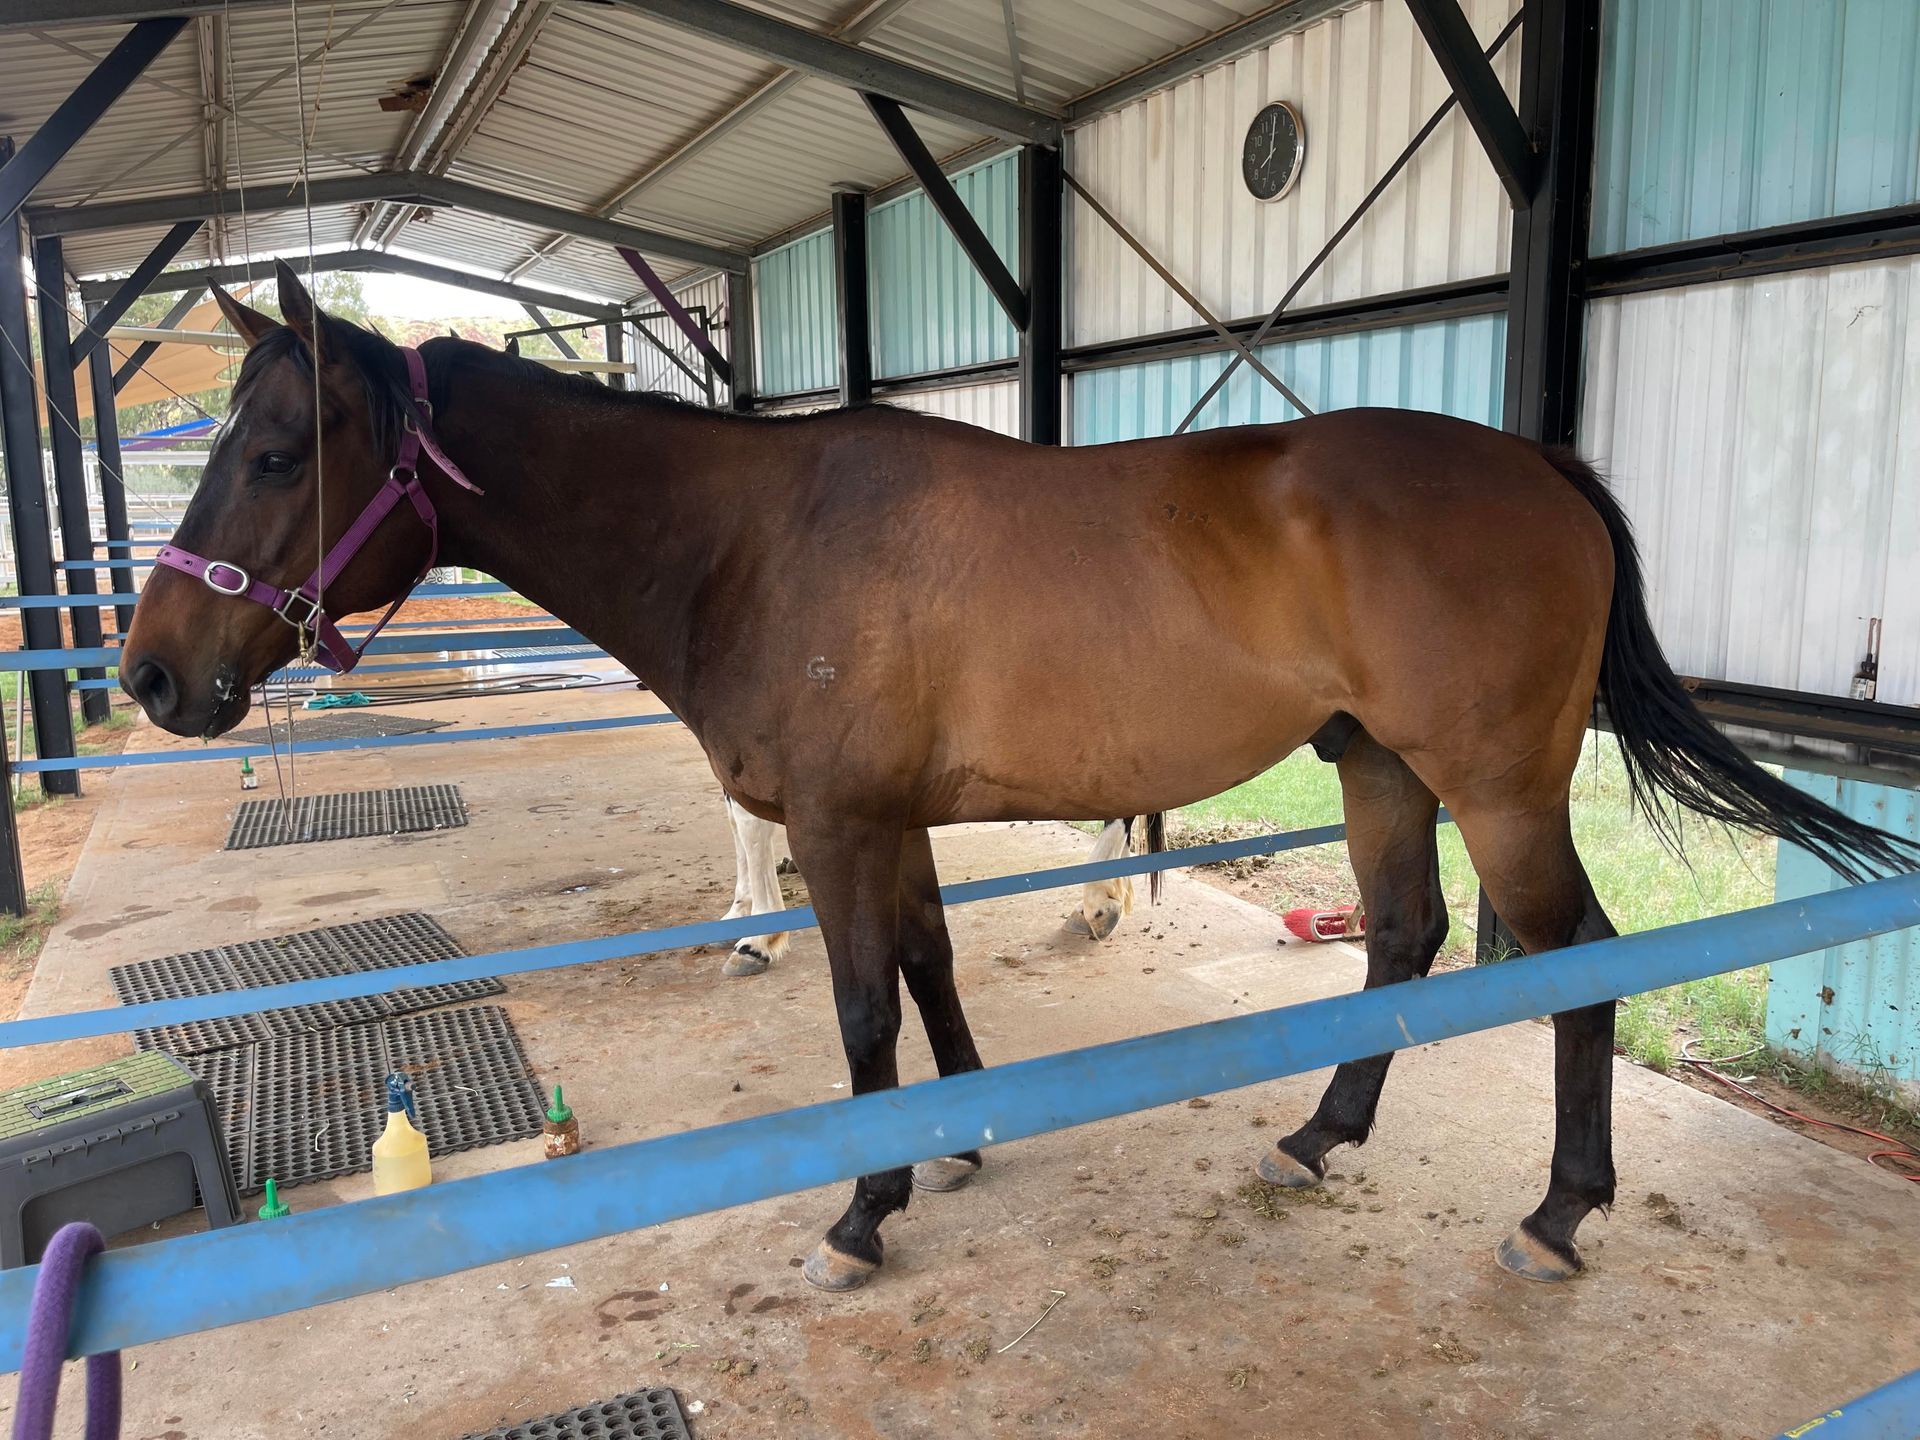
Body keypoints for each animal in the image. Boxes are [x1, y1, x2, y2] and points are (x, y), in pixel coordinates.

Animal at [120, 264, 1917, 1293]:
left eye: (273, 452)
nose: (150, 677)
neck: (750, 540)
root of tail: (1534, 462)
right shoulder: (890, 825)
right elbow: (928, 968)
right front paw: (967, 1135)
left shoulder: (839, 826)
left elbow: (860, 1011)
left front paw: (864, 1210)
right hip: (1381, 772)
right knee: (1404, 941)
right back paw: (1317, 1136)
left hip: (1502, 791)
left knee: (1580, 965)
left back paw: (1558, 1216)